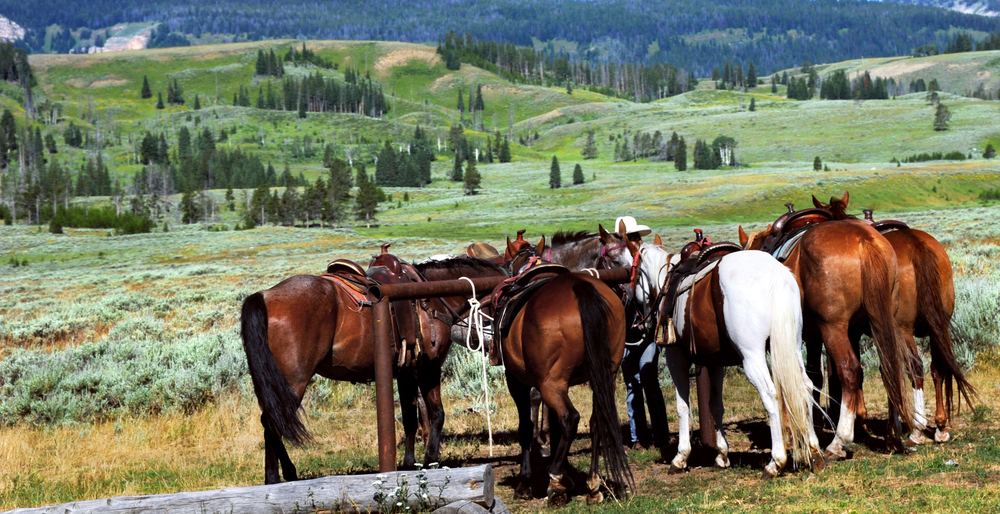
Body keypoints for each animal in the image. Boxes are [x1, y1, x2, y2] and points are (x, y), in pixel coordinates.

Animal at [240, 250, 508, 482]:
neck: (433, 297)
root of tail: (265, 296)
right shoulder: (429, 368)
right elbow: (437, 414)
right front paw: (430, 460)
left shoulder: (405, 372)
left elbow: (410, 418)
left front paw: (409, 464)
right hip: (294, 381)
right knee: (274, 421)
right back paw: (278, 477)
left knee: (270, 420)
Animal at [500, 235, 632, 504]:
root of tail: (582, 289)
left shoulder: (516, 380)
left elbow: (527, 426)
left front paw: (525, 482)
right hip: (605, 376)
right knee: (596, 421)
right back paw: (592, 485)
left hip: (552, 383)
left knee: (571, 418)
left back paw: (555, 481)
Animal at [740, 214, 916, 458]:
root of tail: (864, 239)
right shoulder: (813, 337)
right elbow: (815, 377)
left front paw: (791, 434)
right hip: (882, 322)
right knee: (890, 368)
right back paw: (893, 438)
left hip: (833, 328)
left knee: (850, 370)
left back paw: (839, 441)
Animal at [812, 191, 976, 440]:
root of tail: (915, 244)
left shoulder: (852, 331)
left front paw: (862, 421)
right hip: (940, 326)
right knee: (937, 368)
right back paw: (940, 427)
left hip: (903, 329)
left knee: (915, 367)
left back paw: (917, 429)